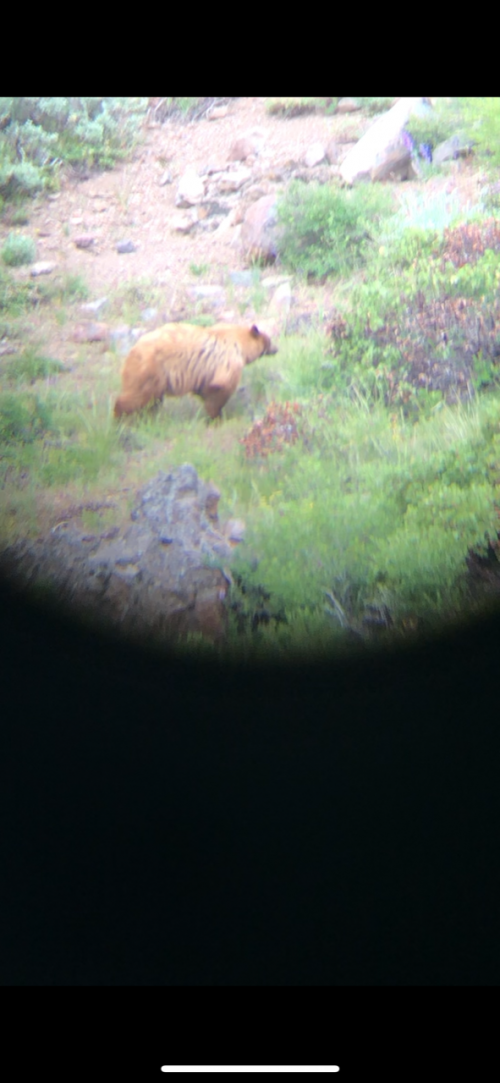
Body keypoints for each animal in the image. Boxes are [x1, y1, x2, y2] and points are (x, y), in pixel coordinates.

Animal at [114, 322, 278, 420]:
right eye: (269, 340)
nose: (277, 348)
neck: (239, 343)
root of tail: (133, 350)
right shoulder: (227, 362)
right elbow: (220, 390)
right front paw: (216, 417)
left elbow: (205, 389)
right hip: (151, 371)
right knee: (137, 396)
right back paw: (120, 418)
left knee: (152, 400)